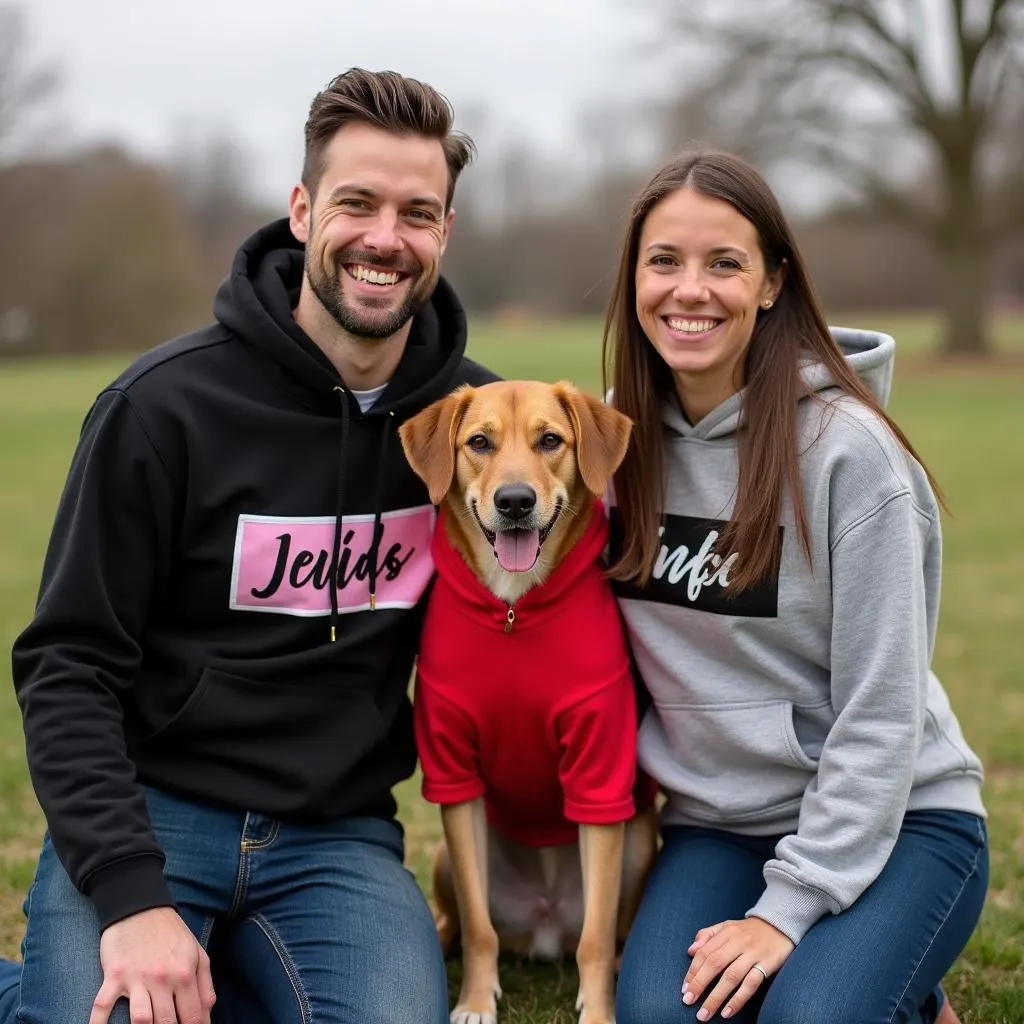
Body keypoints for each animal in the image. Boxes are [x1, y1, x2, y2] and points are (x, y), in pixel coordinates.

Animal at [395, 380, 659, 1019]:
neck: (514, 607)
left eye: (550, 440)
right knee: (463, 925)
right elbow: (478, 925)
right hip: (446, 857)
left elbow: (594, 938)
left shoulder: (599, 782)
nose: (514, 501)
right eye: (479, 443)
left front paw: (600, 1009)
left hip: (640, 837)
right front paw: (475, 1000)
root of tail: (544, 925)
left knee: (604, 931)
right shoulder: (454, 778)